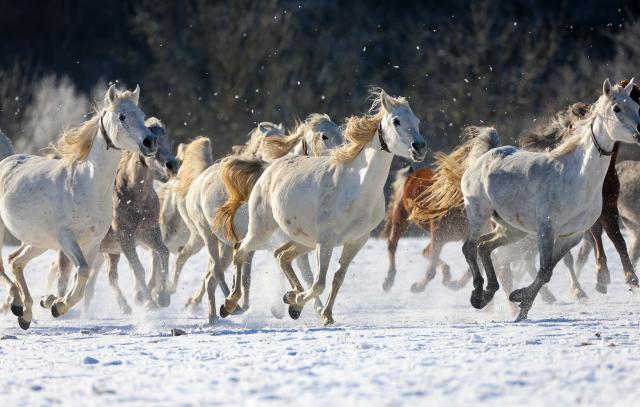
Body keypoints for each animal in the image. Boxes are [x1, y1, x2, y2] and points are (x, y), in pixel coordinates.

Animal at [0, 84, 158, 330]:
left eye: (142, 115)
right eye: (122, 116)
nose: (150, 142)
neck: (87, 185)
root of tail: (6, 160)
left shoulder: (93, 243)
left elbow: (82, 280)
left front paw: (53, 303)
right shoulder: (67, 239)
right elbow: (82, 272)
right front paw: (57, 305)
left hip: (38, 241)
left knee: (15, 262)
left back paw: (24, 313)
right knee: (5, 263)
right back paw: (18, 304)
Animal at [176, 113, 344, 324]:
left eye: (341, 131)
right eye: (324, 136)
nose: (342, 155)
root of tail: (199, 180)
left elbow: (301, 272)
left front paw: (304, 307)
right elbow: (301, 272)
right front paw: (295, 307)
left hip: (226, 244)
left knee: (210, 278)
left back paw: (214, 316)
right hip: (208, 236)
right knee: (216, 271)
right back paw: (232, 307)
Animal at [462, 79, 640, 322]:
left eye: (636, 105)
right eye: (617, 108)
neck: (577, 176)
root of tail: (484, 157)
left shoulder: (572, 235)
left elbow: (548, 270)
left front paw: (521, 302)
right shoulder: (547, 228)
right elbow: (545, 269)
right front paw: (521, 305)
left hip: (512, 229)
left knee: (485, 247)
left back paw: (489, 292)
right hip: (479, 214)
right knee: (470, 247)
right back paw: (478, 295)